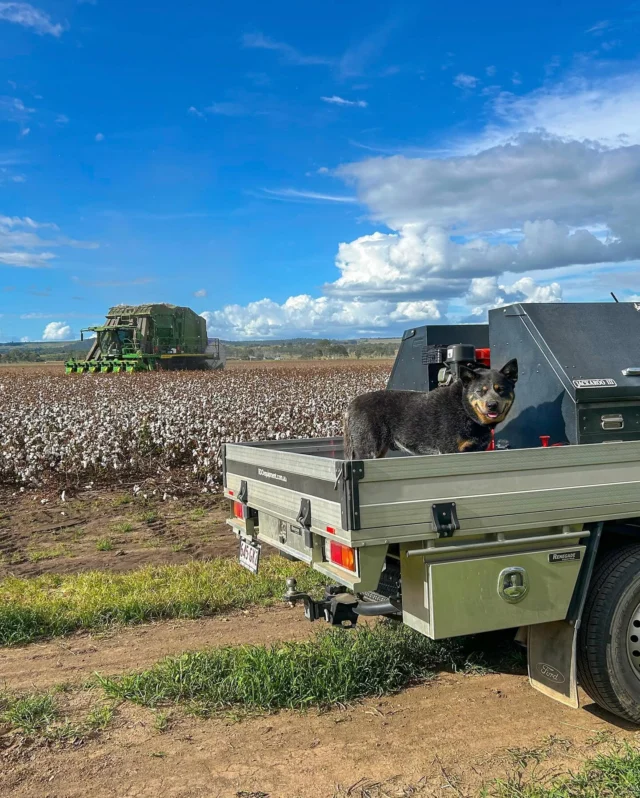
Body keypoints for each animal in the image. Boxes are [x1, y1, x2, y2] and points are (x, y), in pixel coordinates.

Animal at [342, 360, 516, 460]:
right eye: (481, 391)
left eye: (500, 389)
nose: (492, 404)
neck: (464, 409)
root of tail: (351, 404)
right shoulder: (449, 450)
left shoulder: (477, 450)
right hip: (367, 450)